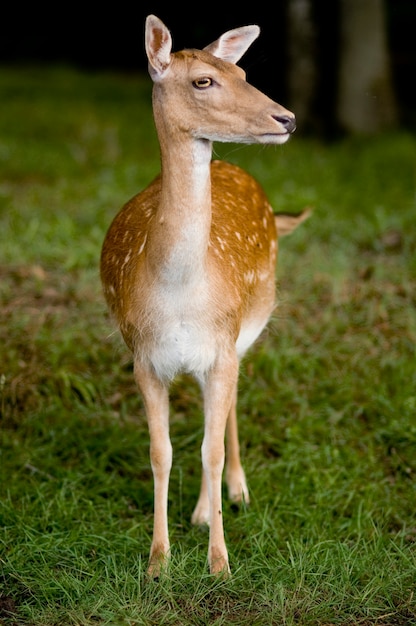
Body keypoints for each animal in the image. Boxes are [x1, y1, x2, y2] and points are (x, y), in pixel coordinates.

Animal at [101, 13, 308, 576]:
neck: (179, 293)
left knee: (229, 410)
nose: (287, 118)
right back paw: (198, 511)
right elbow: (161, 452)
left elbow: (210, 451)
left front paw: (220, 563)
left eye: (242, 73)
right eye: (203, 81)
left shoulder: (221, 348)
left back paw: (233, 493)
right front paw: (158, 562)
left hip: (245, 329)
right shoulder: (144, 358)